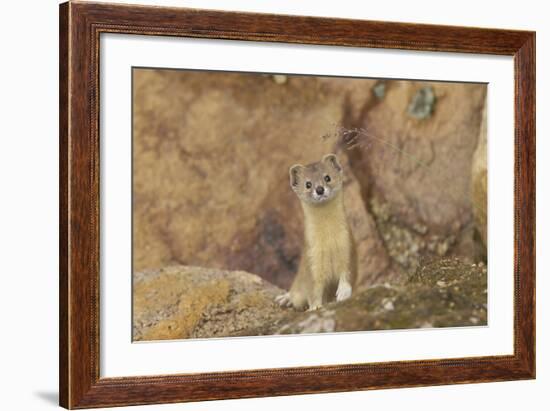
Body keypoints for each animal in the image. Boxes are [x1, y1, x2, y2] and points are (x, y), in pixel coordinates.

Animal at [276, 154, 358, 312]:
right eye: (308, 184)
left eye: (327, 177)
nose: (319, 189)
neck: (329, 241)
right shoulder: (312, 258)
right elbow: (314, 289)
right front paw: (315, 306)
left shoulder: (348, 245)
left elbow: (347, 272)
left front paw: (343, 292)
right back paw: (285, 298)